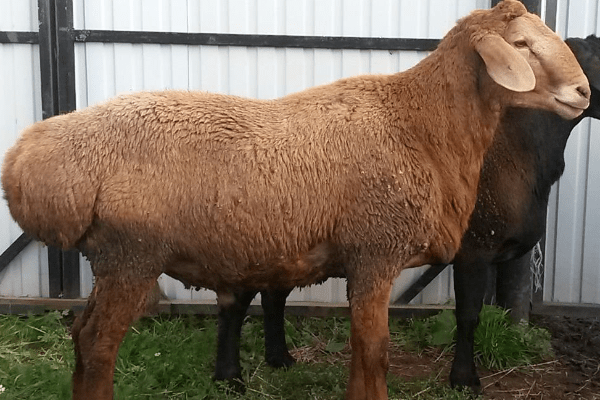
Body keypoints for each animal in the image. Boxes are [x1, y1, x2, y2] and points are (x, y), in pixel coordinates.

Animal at [1, 1, 590, 399]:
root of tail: (28, 159)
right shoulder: (375, 251)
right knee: (99, 345)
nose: (583, 92)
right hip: (132, 254)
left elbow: (364, 351)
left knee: (81, 336)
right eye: (521, 47)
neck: (419, 123)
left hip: (112, 259)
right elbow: (374, 352)